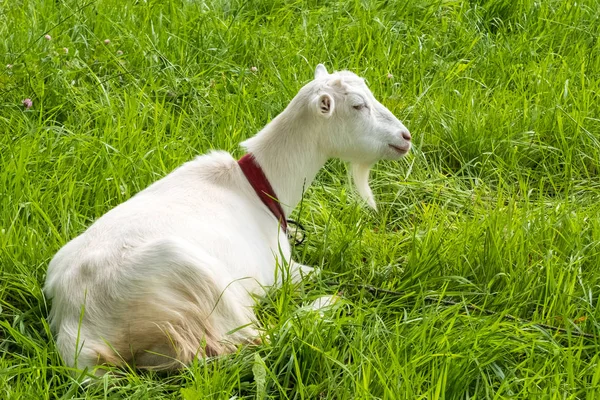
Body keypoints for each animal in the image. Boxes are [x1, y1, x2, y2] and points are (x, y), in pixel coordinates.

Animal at [43, 64, 412, 374]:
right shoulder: (280, 270)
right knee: (260, 339)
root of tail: (78, 329)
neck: (259, 186)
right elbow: (322, 272)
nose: (406, 137)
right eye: (357, 105)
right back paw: (327, 306)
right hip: (200, 282)